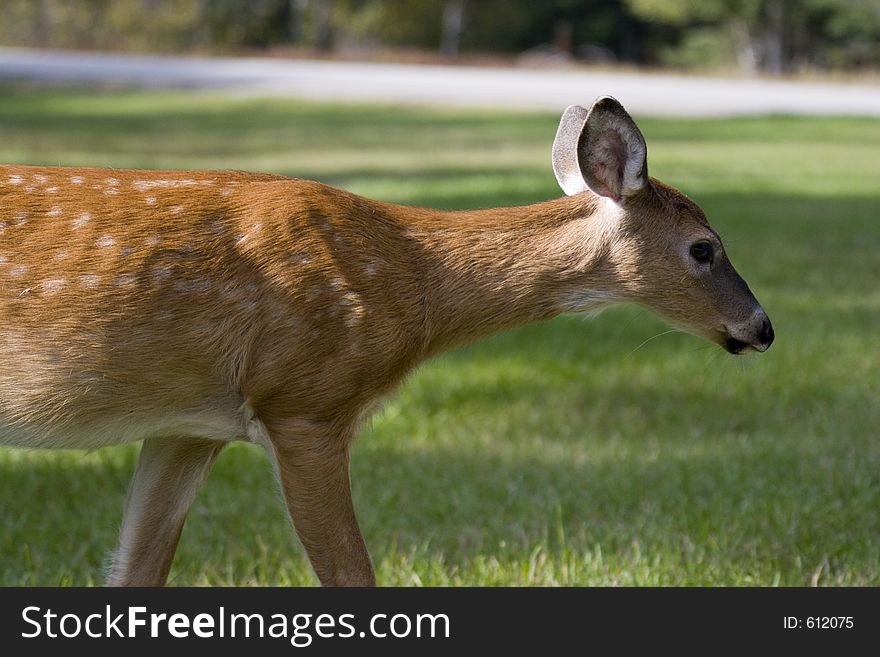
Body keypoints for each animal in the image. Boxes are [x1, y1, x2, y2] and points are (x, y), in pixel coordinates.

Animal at [0, 96, 768, 584]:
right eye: (704, 248)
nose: (762, 327)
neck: (414, 285)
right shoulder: (304, 401)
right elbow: (352, 578)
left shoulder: (187, 425)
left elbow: (135, 572)